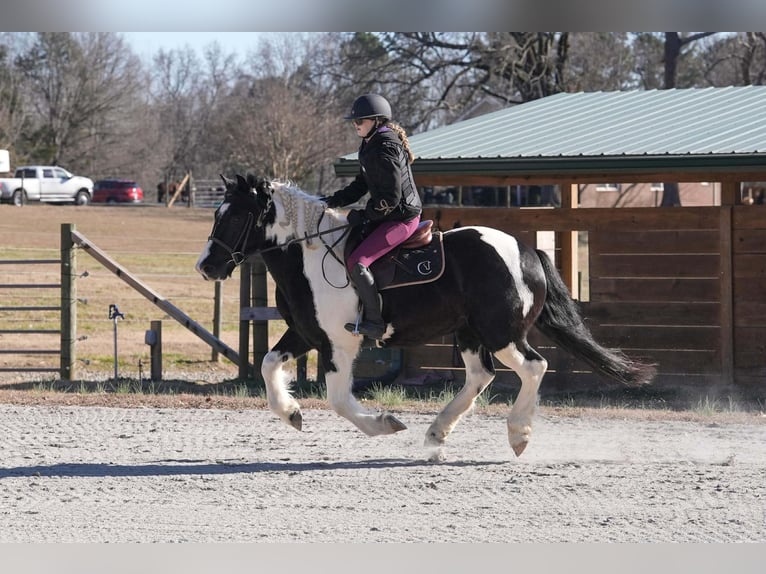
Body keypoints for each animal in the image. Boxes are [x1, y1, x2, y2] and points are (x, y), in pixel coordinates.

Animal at [196, 173, 655, 460]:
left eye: (235, 215)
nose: (206, 266)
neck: (309, 254)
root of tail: (527, 251)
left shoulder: (340, 343)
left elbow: (340, 400)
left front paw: (384, 424)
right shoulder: (307, 334)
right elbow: (268, 364)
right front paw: (291, 412)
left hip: (501, 333)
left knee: (534, 367)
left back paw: (518, 434)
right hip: (470, 332)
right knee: (480, 376)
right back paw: (437, 434)